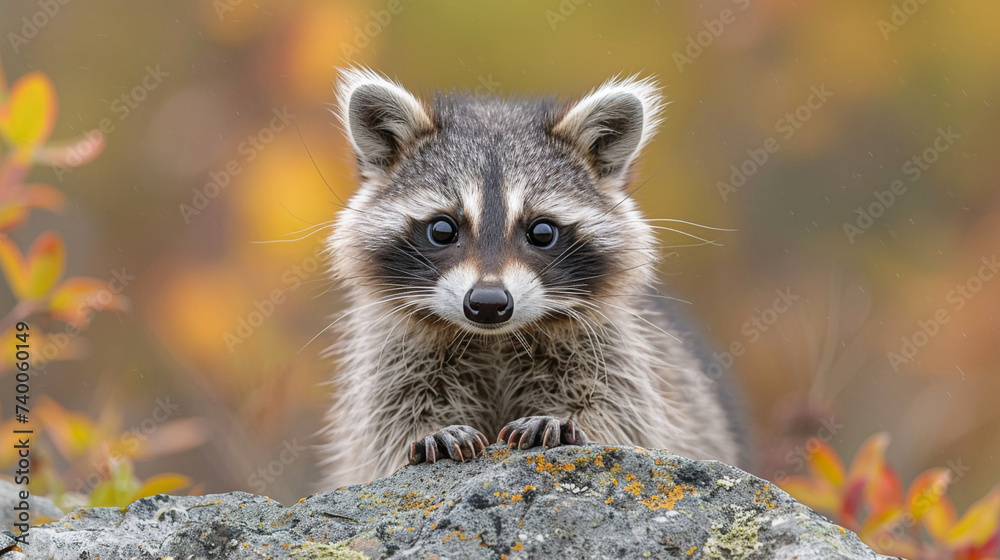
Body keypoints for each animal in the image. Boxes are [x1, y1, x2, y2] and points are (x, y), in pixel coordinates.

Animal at [319, 68, 746, 488]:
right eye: (442, 229)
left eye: (542, 232)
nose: (487, 304)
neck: (493, 341)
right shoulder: (393, 357)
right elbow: (385, 432)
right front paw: (431, 431)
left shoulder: (614, 351)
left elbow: (622, 418)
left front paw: (563, 420)